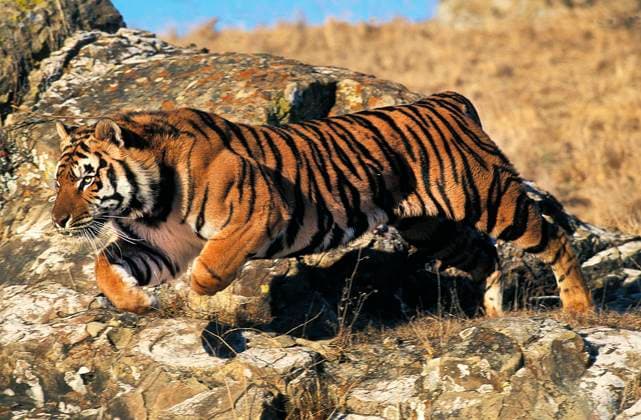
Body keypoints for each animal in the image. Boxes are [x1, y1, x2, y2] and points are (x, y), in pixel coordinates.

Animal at [50, 91, 593, 316]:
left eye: (86, 180)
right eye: (58, 182)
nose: (57, 221)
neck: (151, 200)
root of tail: (446, 99)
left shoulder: (259, 209)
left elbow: (213, 263)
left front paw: (204, 293)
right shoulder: (161, 246)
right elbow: (104, 265)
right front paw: (136, 301)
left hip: (493, 199)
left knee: (557, 240)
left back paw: (579, 310)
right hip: (433, 227)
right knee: (486, 255)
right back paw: (494, 315)